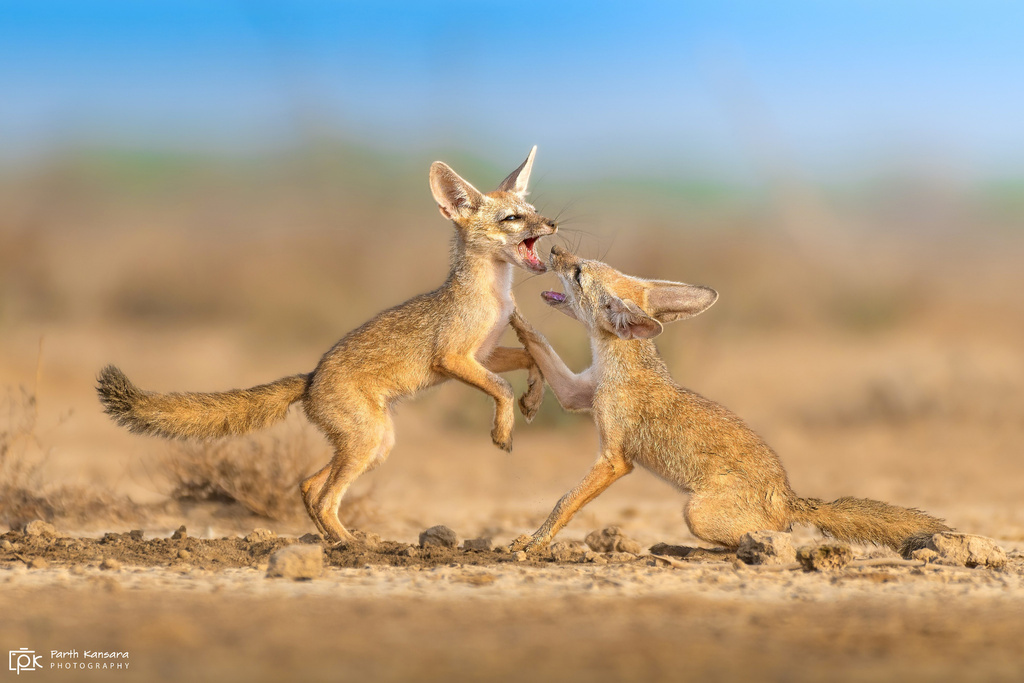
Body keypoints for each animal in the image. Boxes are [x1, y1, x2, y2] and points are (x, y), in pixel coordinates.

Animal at [97, 147, 557, 544]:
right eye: (512, 218)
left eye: (534, 212)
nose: (552, 224)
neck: (494, 296)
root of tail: (310, 378)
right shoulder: (453, 358)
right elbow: (501, 386)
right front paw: (503, 430)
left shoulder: (485, 354)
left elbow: (531, 358)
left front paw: (533, 400)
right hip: (368, 442)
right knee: (323, 497)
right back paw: (353, 545)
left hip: (374, 446)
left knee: (308, 486)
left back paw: (335, 539)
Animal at [508, 245, 950, 556]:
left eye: (578, 273)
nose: (555, 250)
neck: (617, 366)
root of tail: (790, 498)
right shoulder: (575, 394)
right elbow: (539, 342)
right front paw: (508, 311)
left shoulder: (614, 459)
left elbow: (564, 502)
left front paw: (535, 543)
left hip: (695, 513)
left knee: (761, 542)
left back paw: (688, 551)